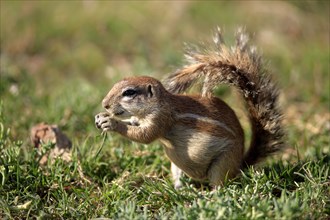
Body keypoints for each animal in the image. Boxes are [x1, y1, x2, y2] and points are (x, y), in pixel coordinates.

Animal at [94, 27, 284, 189]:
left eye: (129, 92)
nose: (105, 104)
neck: (161, 103)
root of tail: (240, 166)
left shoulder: (160, 118)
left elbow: (145, 136)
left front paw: (112, 123)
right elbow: (134, 123)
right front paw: (101, 118)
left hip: (223, 162)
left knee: (220, 184)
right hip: (176, 165)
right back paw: (179, 189)